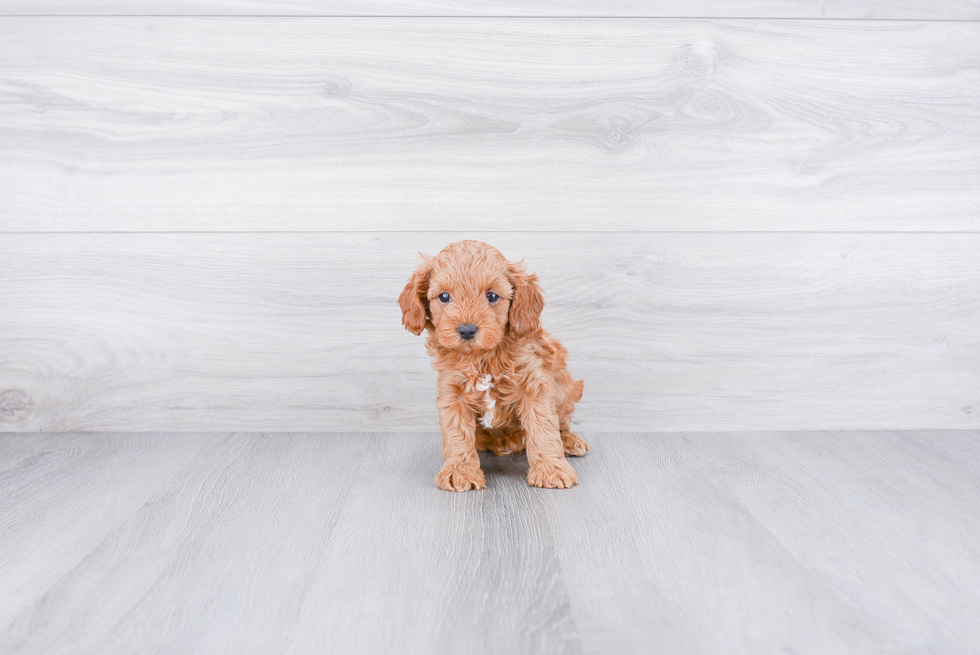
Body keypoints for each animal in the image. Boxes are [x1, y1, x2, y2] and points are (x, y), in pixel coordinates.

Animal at [396, 241, 584, 492]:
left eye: (492, 296)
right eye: (444, 296)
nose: (467, 330)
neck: (482, 358)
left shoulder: (534, 385)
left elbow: (543, 427)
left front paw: (551, 469)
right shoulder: (452, 392)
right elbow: (457, 433)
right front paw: (460, 471)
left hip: (566, 386)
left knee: (561, 422)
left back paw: (569, 441)